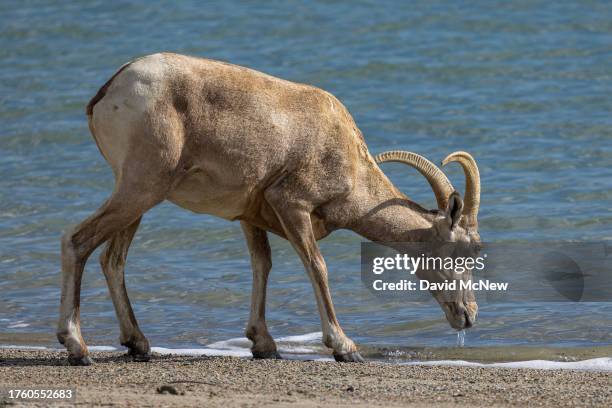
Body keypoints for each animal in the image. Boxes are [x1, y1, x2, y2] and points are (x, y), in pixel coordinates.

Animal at [58, 52, 478, 364]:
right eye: (465, 252)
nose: (469, 316)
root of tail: (110, 91)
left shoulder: (250, 216)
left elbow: (263, 265)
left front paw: (264, 344)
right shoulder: (291, 205)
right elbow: (317, 267)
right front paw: (345, 347)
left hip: (140, 196)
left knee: (113, 259)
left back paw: (138, 344)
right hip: (141, 188)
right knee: (77, 241)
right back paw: (78, 347)